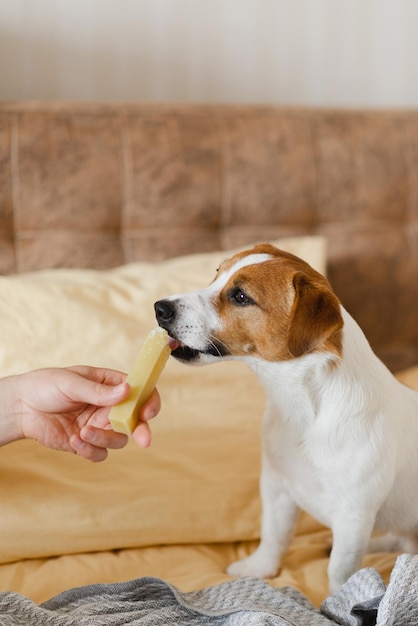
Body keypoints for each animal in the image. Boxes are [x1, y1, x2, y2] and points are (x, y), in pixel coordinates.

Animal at [154, 244, 418, 588]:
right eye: (217, 275)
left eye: (240, 296)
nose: (159, 308)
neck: (303, 411)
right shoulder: (276, 485)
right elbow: (274, 535)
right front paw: (259, 568)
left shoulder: (354, 515)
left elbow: (339, 570)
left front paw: (342, 598)